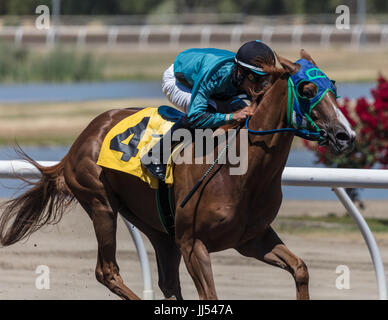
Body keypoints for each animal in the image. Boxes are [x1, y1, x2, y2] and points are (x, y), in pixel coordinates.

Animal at [0, 50, 354, 300]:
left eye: (334, 87)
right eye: (307, 89)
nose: (345, 134)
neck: (241, 173)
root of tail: (79, 140)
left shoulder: (252, 239)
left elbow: (300, 269)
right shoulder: (193, 244)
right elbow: (209, 295)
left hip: (158, 228)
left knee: (167, 281)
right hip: (101, 204)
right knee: (107, 271)